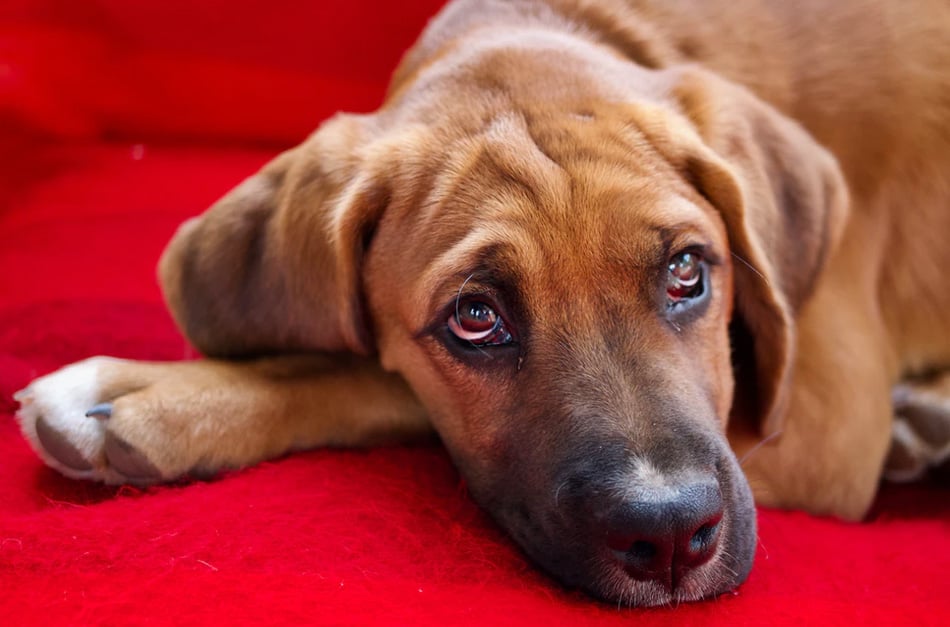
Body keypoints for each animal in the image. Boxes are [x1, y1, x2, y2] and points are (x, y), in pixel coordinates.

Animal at [9, 0, 950, 608]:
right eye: (475, 317)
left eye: (689, 271)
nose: (670, 537)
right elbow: (371, 367)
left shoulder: (825, 416)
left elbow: (366, 374)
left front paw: (154, 393)